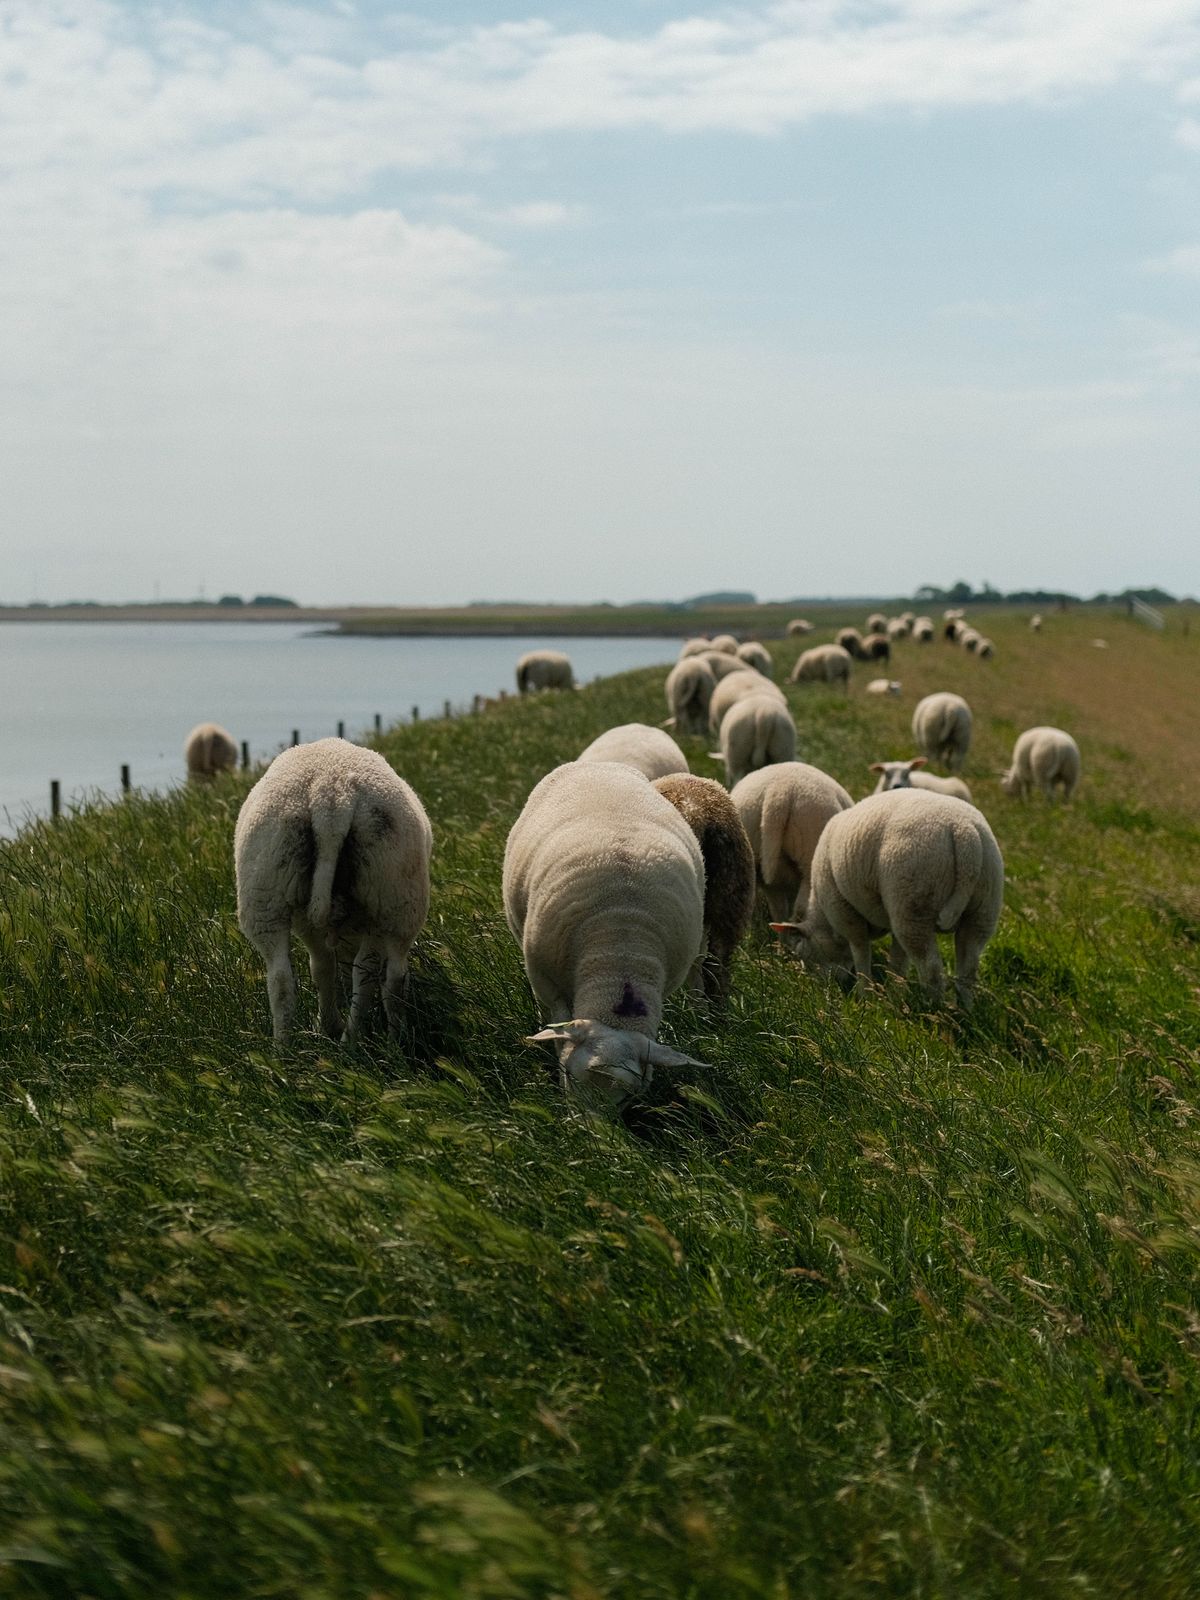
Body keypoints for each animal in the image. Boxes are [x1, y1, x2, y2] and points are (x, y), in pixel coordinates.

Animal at [235, 732, 432, 1043]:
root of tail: (331, 795)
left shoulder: (307, 921)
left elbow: (321, 967)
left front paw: (327, 1024)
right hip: (391, 893)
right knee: (378, 975)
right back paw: (364, 1039)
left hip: (266, 890)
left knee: (280, 979)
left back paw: (284, 1048)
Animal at [502, 758, 710, 1107]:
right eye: (569, 1076)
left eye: (626, 1099)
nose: (590, 1127)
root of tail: (599, 763)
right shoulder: (547, 982)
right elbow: (558, 1027)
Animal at [771, 790, 1004, 1004]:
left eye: (803, 953)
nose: (819, 988)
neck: (823, 917)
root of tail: (963, 833)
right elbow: (898, 961)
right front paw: (894, 994)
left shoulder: (844, 912)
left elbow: (861, 952)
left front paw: (864, 995)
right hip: (983, 907)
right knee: (968, 970)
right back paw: (964, 1012)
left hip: (914, 903)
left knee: (931, 971)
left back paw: (932, 1009)